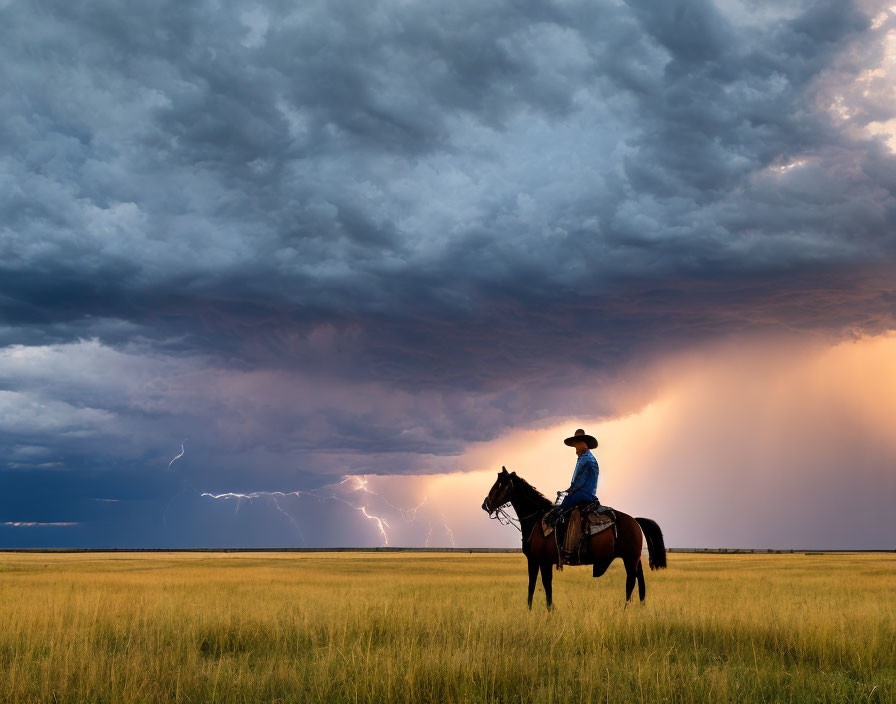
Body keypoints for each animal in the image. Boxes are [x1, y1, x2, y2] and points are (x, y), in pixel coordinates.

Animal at [484, 464, 664, 608]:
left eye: (499, 484)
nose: (485, 504)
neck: (536, 521)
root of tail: (635, 521)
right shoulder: (535, 560)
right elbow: (533, 585)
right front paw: (532, 610)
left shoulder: (543, 561)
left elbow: (545, 585)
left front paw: (548, 611)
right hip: (635, 559)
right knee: (640, 581)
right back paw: (640, 607)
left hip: (629, 558)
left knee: (631, 582)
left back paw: (625, 609)